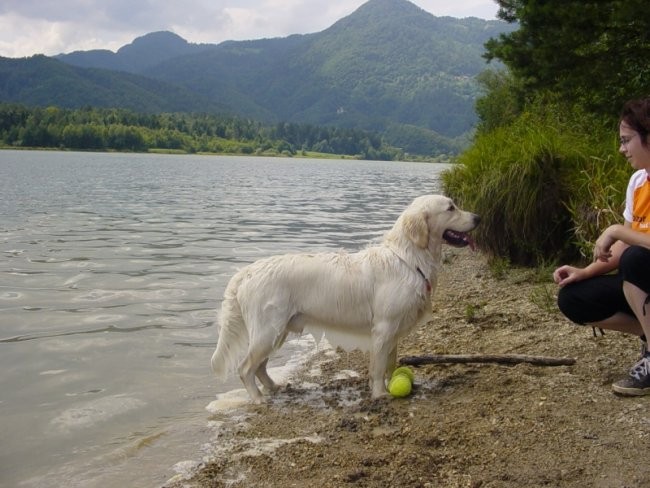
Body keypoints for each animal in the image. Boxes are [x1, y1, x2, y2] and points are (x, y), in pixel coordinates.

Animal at [211, 194, 476, 404]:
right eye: (451, 207)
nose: (478, 218)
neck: (409, 260)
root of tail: (246, 271)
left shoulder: (394, 332)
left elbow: (390, 364)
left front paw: (394, 383)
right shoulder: (384, 329)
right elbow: (378, 368)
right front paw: (380, 394)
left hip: (276, 333)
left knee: (260, 367)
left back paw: (274, 387)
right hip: (267, 332)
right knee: (246, 368)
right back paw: (257, 399)